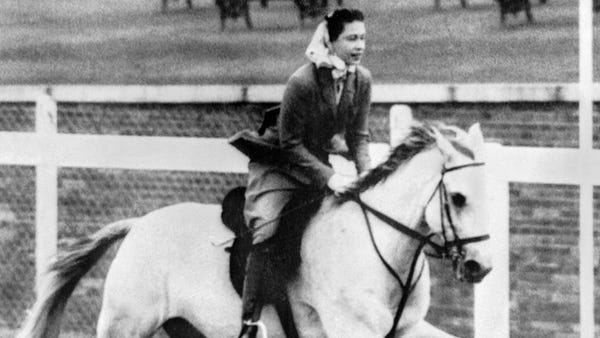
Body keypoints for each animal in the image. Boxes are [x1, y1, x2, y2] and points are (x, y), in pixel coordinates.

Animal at [17, 121, 492, 338]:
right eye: (458, 197)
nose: (480, 267)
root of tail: (139, 225)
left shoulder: (408, 329)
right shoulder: (351, 330)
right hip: (126, 324)